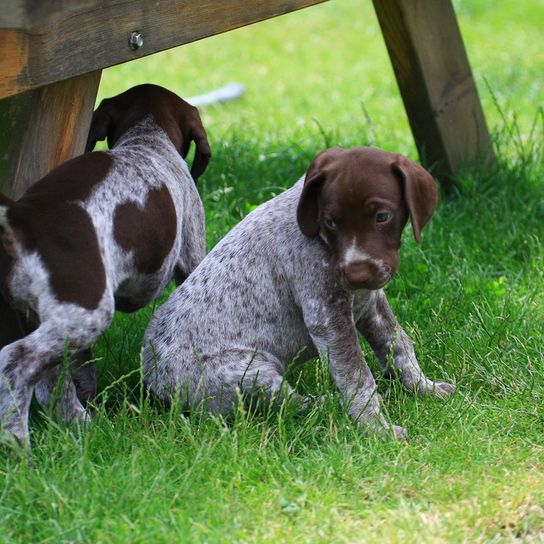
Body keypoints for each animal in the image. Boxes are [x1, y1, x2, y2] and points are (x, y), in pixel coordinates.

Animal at [0, 82, 210, 446]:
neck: (146, 139)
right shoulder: (192, 254)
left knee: (49, 382)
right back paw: (18, 442)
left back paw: (79, 425)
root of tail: (23, 215)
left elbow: (81, 369)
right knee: (15, 362)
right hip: (88, 313)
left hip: (38, 316)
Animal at [143, 144, 454, 438]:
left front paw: (422, 387)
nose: (356, 274)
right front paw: (376, 428)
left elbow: (398, 344)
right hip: (252, 371)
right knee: (290, 405)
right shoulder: (327, 318)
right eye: (331, 221)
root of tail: (153, 381)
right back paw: (325, 405)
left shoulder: (371, 302)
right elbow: (357, 377)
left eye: (382, 216)